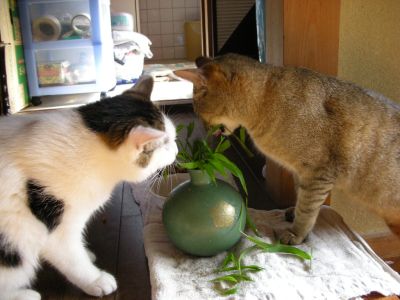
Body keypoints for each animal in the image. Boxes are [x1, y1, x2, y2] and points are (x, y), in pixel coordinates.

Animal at [0, 76, 177, 298]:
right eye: (167, 146)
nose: (176, 150)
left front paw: (87, 254)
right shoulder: (59, 232)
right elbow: (74, 260)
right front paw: (95, 280)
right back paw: (24, 294)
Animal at [175, 54, 400, 245]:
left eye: (198, 110)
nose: (204, 129)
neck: (266, 99)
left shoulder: (317, 173)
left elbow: (307, 208)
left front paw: (296, 233)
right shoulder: (301, 174)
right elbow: (300, 198)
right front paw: (293, 214)